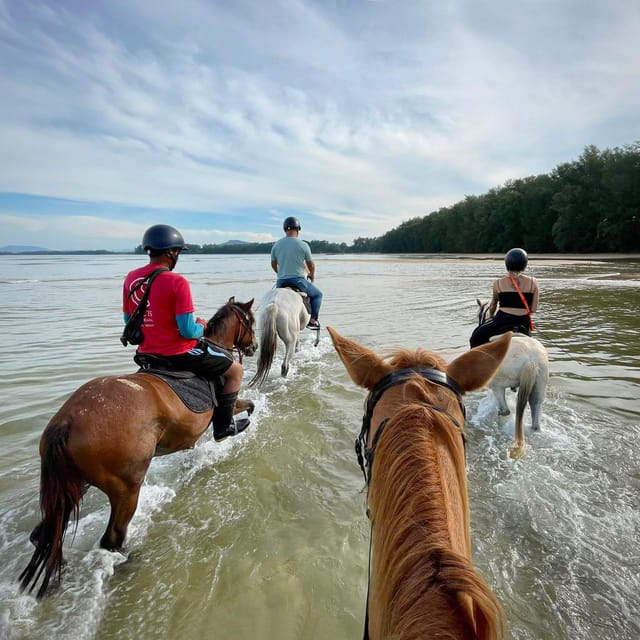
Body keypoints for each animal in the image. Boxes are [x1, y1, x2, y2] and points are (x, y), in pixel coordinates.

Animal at [19, 298, 258, 596]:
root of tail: (67, 421)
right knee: (112, 538)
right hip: (126, 489)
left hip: (75, 484)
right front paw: (239, 426)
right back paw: (129, 561)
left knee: (46, 532)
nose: (254, 346)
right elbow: (245, 406)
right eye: (251, 321)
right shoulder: (227, 403)